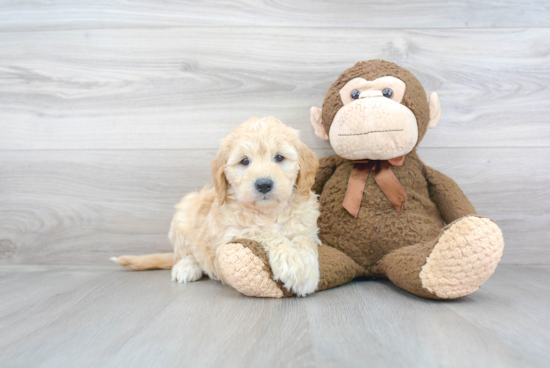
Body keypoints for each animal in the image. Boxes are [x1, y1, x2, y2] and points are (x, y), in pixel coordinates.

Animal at [112, 117, 322, 296]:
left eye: (279, 158)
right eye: (244, 161)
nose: (263, 184)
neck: (269, 212)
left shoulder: (307, 228)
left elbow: (305, 240)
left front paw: (307, 271)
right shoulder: (227, 239)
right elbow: (263, 234)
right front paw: (291, 263)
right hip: (185, 212)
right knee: (183, 253)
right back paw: (186, 267)